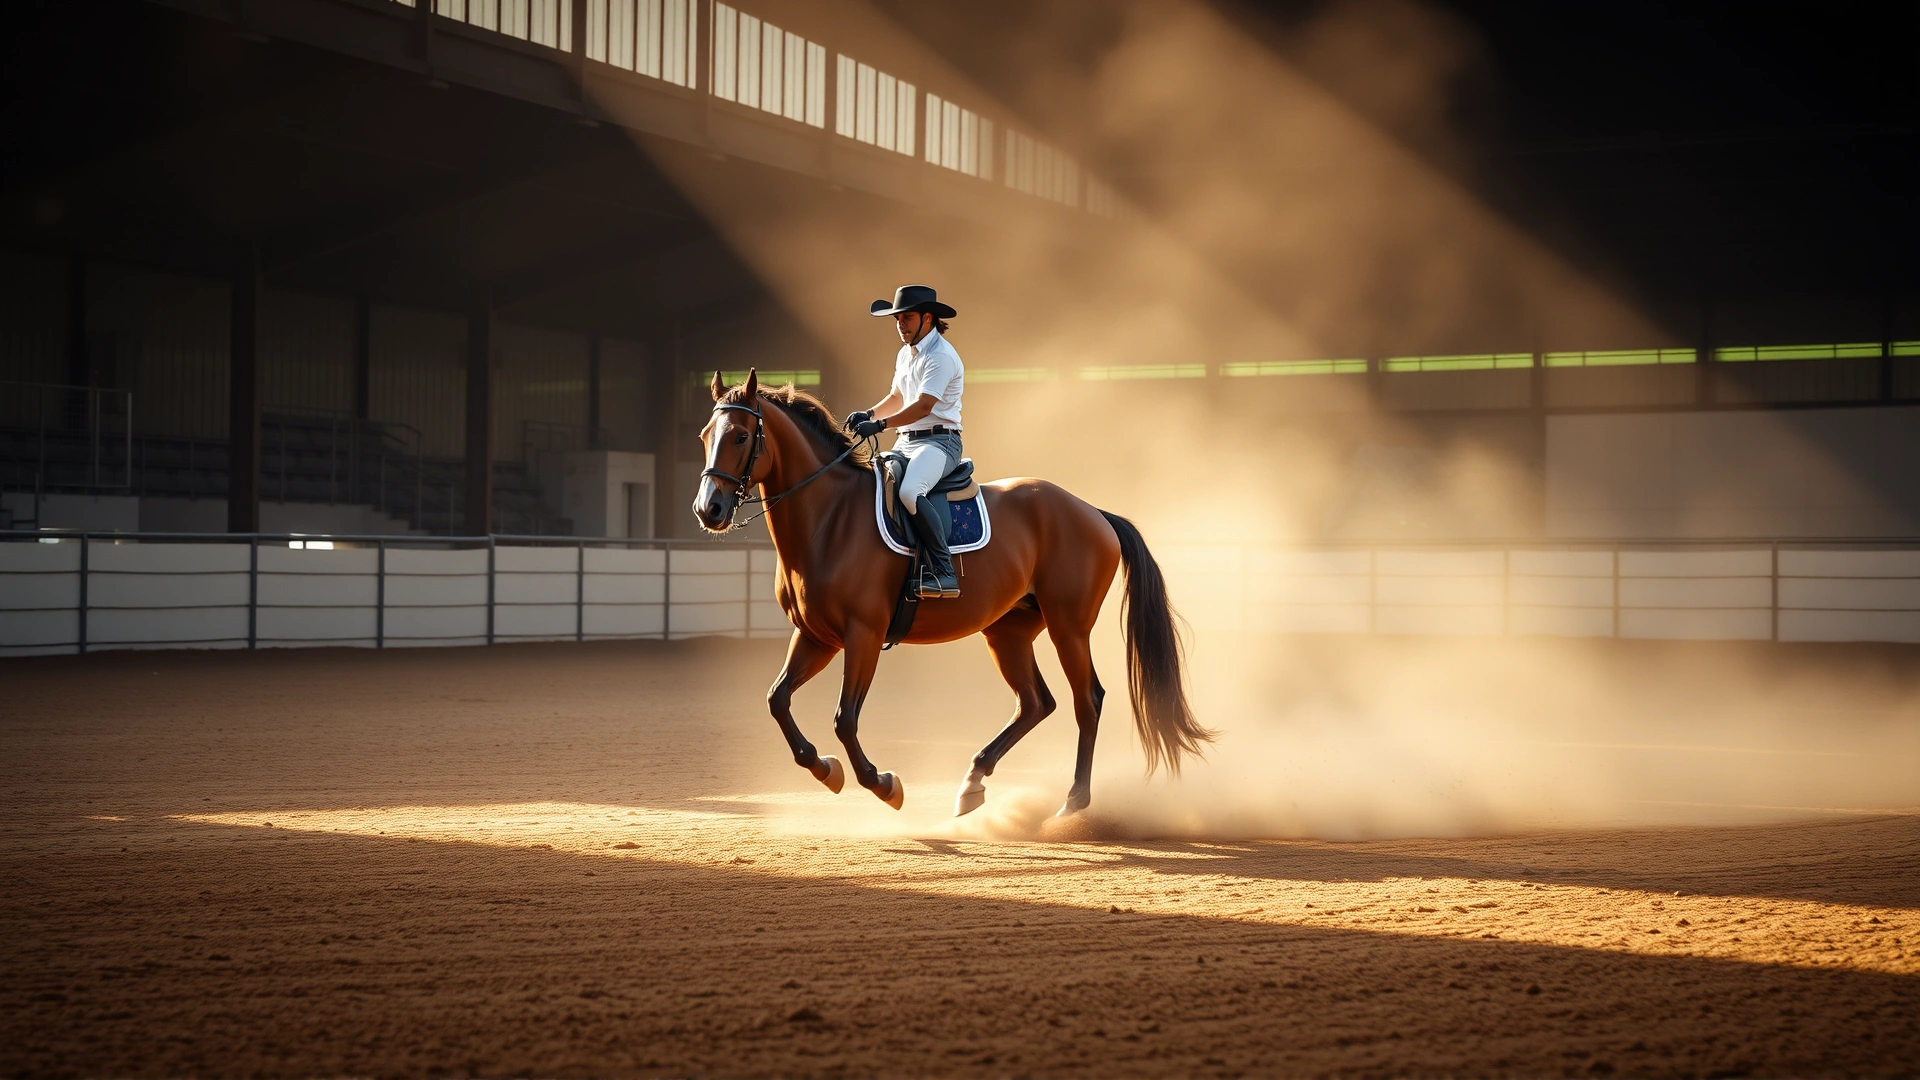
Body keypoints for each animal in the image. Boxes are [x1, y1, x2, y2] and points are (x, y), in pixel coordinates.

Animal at [691, 369, 1212, 817]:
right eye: (705, 436)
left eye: (741, 437)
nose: (708, 509)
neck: (829, 520)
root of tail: (1091, 511)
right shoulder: (816, 636)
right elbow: (777, 700)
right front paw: (825, 769)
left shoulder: (862, 635)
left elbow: (844, 718)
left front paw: (884, 785)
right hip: (1008, 632)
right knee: (1036, 702)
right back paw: (973, 783)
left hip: (1069, 627)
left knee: (1087, 700)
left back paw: (1072, 802)